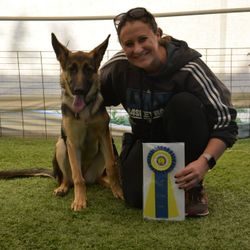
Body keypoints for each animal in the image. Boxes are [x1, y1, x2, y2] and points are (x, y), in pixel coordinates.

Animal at [0, 33, 123, 211]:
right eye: (71, 69)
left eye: (88, 69)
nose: (79, 90)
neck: (84, 112)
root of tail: (89, 176)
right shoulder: (72, 142)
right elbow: (77, 178)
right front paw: (80, 200)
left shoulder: (104, 136)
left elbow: (112, 167)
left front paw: (118, 191)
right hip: (61, 146)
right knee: (69, 178)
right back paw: (63, 188)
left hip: (103, 152)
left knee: (98, 177)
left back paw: (105, 183)